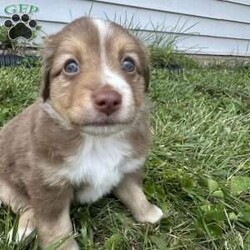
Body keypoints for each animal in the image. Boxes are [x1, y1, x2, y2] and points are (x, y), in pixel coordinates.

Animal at [0, 16, 163, 249]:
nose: (109, 100)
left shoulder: (129, 166)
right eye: (70, 66)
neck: (98, 140)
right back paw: (23, 230)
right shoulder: (48, 185)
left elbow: (134, 191)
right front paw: (63, 247)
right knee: (26, 206)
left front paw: (148, 213)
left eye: (128, 64)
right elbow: (56, 227)